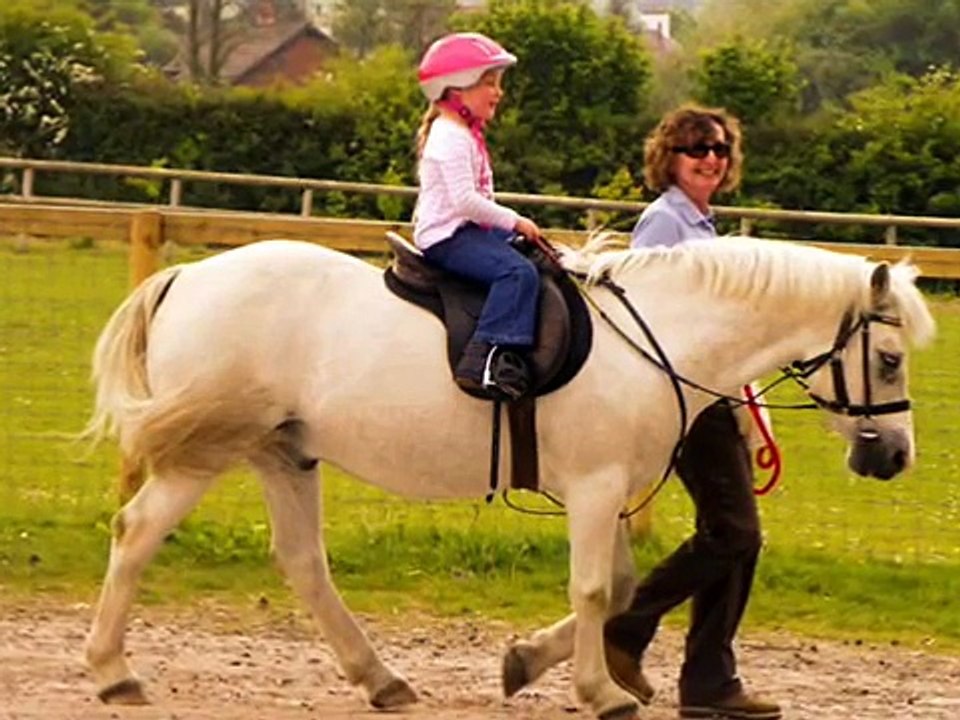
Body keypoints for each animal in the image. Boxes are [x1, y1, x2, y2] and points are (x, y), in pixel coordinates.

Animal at [82, 235, 934, 720]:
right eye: (891, 359)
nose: (893, 456)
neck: (660, 335)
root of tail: (187, 277)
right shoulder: (594, 486)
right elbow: (592, 590)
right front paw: (601, 692)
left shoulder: (609, 493)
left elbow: (620, 586)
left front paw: (526, 662)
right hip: (209, 449)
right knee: (136, 532)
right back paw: (112, 672)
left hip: (283, 453)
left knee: (303, 563)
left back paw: (381, 679)